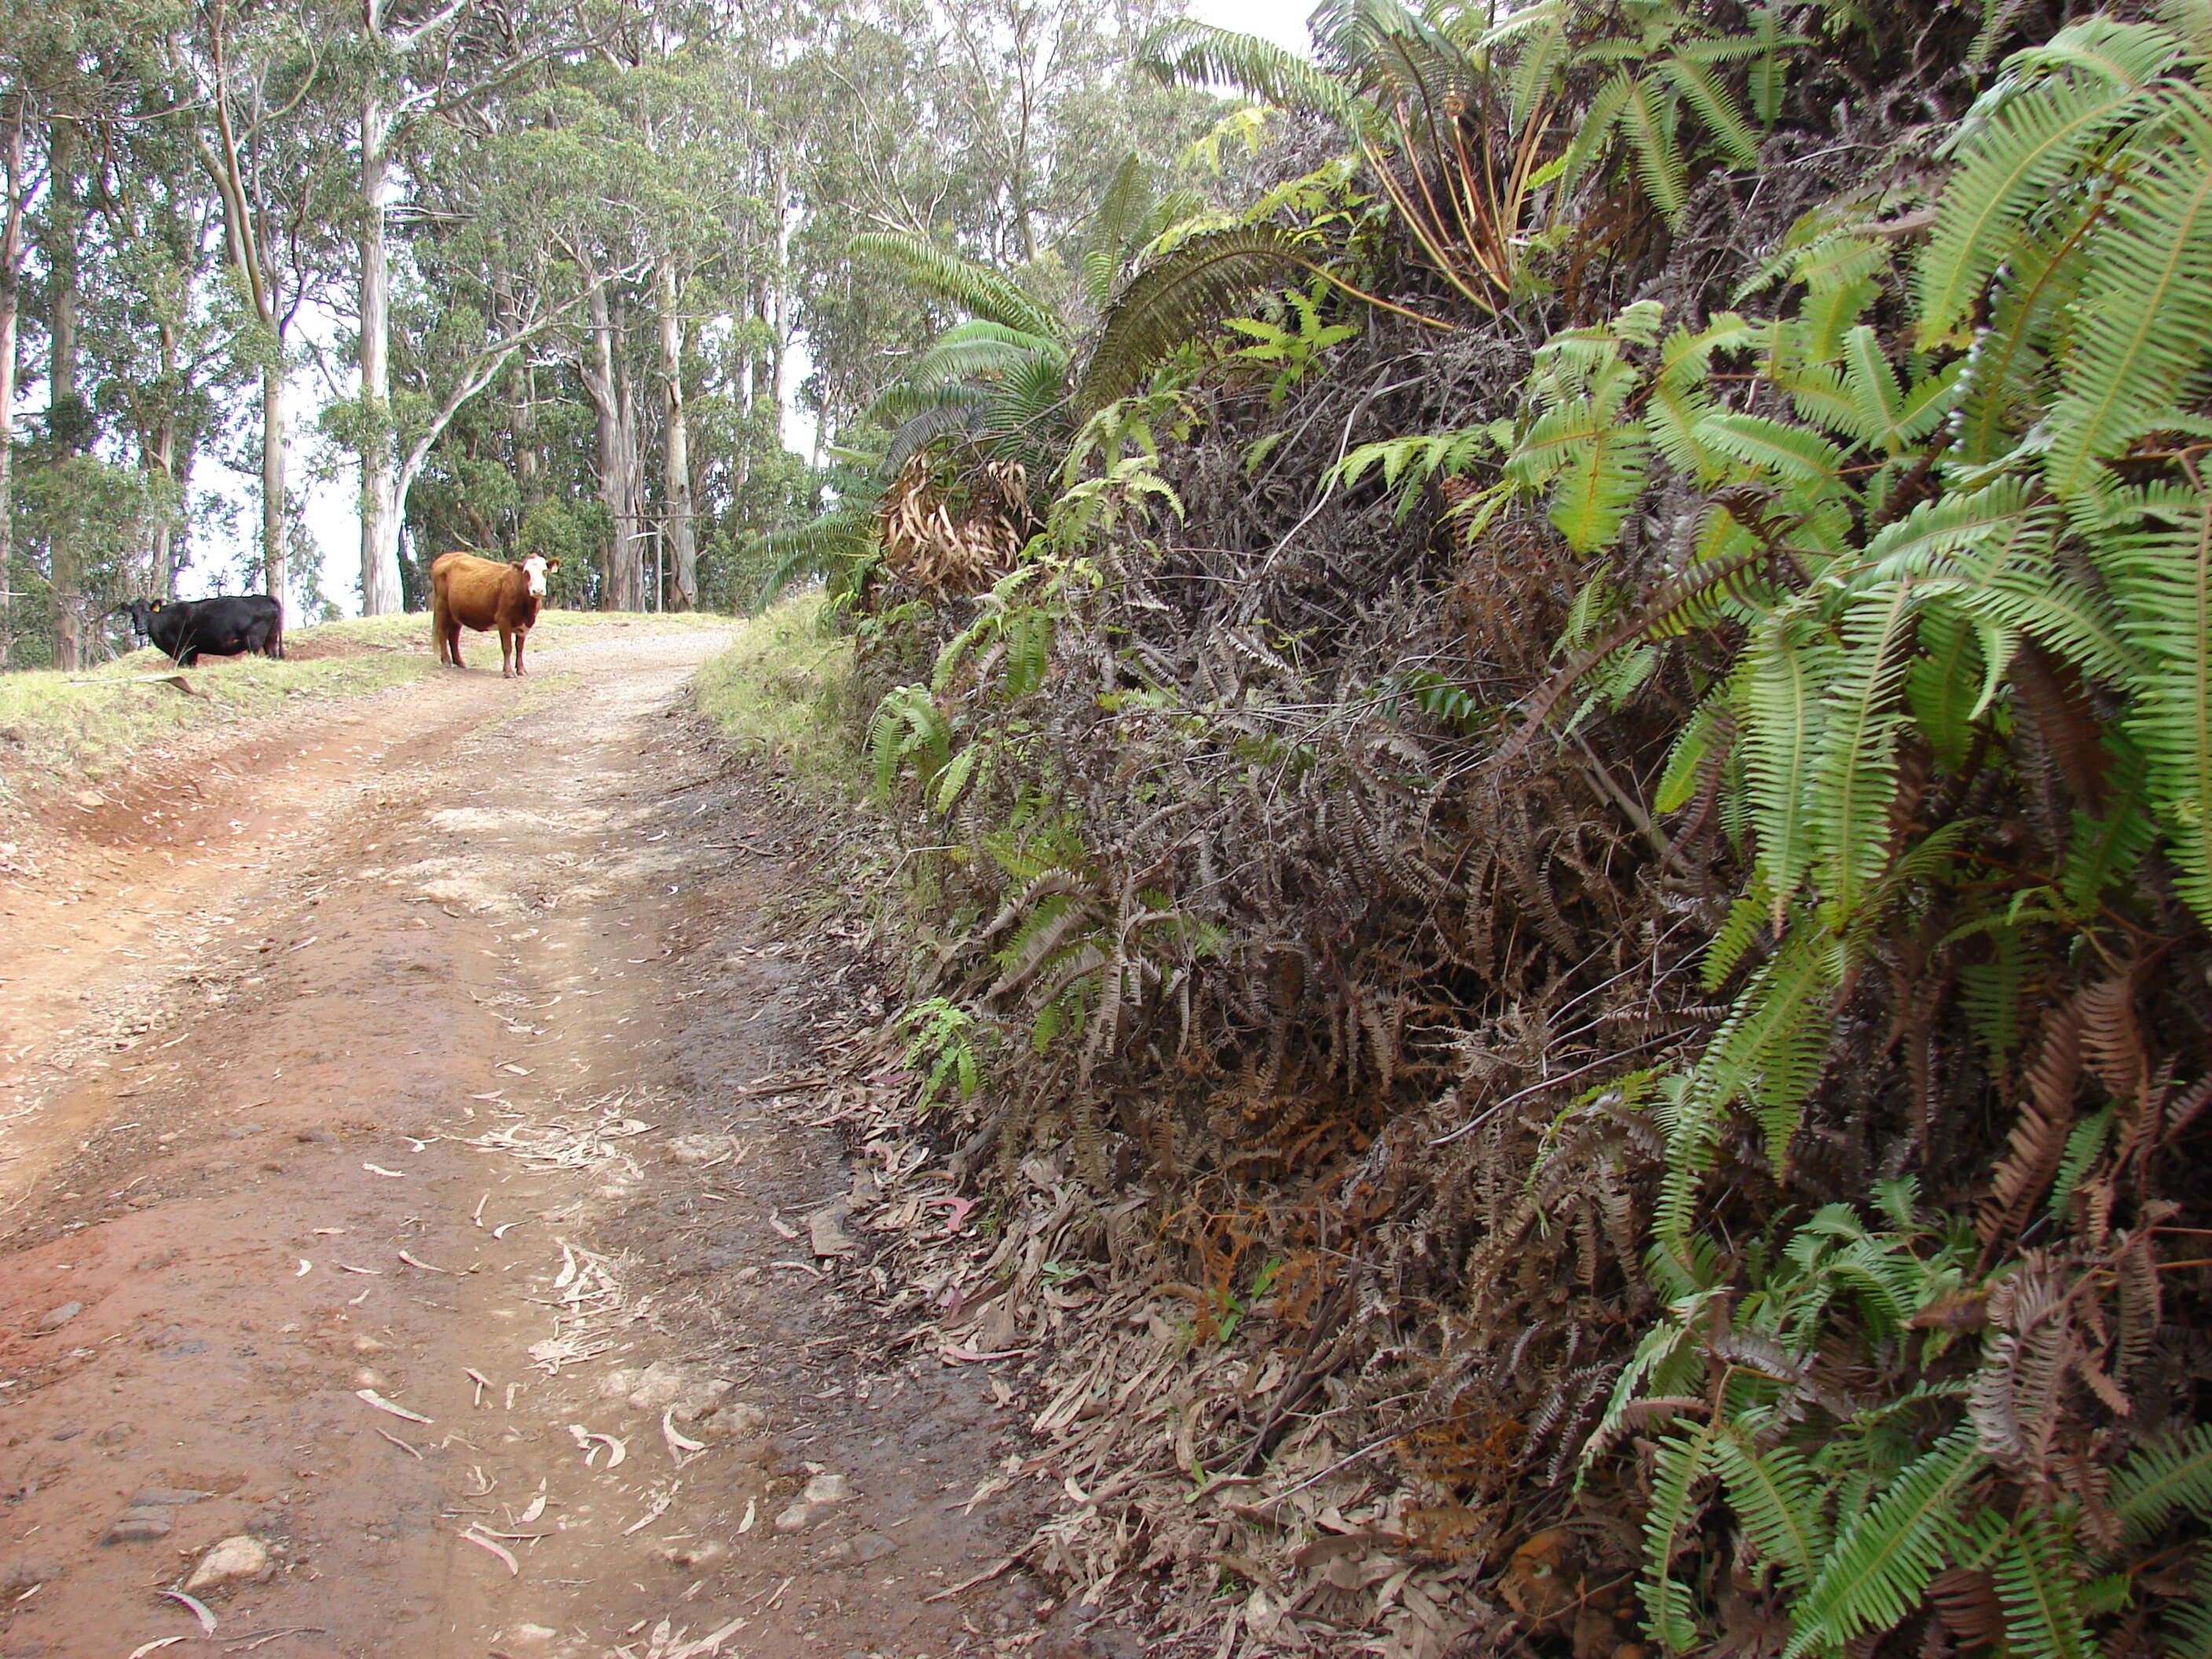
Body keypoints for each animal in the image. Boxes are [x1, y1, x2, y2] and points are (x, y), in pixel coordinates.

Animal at [116, 592, 287, 668]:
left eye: (148, 612)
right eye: (134, 614)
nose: (140, 629)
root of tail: (266, 597)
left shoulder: (183, 649)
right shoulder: (193, 651)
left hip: (254, 640)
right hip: (271, 638)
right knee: (273, 656)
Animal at [427, 555, 557, 676]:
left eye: (545, 571)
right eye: (526, 572)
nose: (538, 591)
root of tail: (446, 556)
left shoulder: (525, 625)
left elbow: (519, 648)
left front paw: (521, 670)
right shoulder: (503, 620)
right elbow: (507, 647)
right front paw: (508, 672)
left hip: (456, 613)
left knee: (454, 636)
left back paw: (460, 662)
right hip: (442, 607)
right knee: (442, 633)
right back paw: (446, 661)